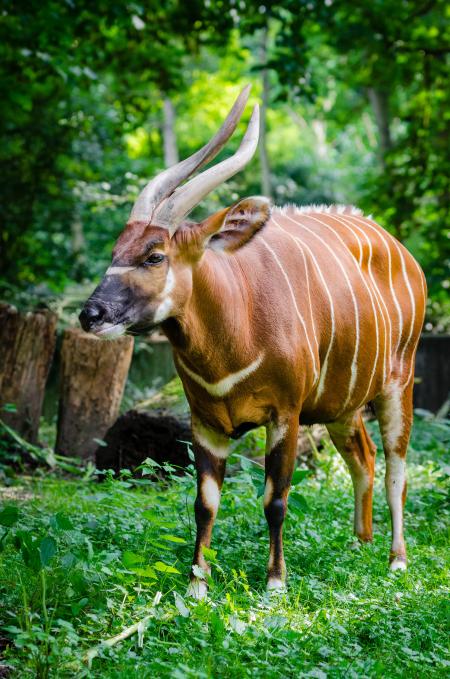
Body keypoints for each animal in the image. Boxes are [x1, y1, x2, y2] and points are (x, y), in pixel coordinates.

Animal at [80, 86, 426, 597]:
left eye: (155, 255)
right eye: (115, 252)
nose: (90, 314)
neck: (233, 337)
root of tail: (403, 251)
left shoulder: (285, 415)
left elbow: (275, 498)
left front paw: (275, 584)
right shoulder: (205, 422)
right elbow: (204, 502)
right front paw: (196, 587)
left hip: (398, 384)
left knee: (396, 468)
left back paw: (396, 560)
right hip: (341, 406)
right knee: (362, 457)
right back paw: (359, 545)